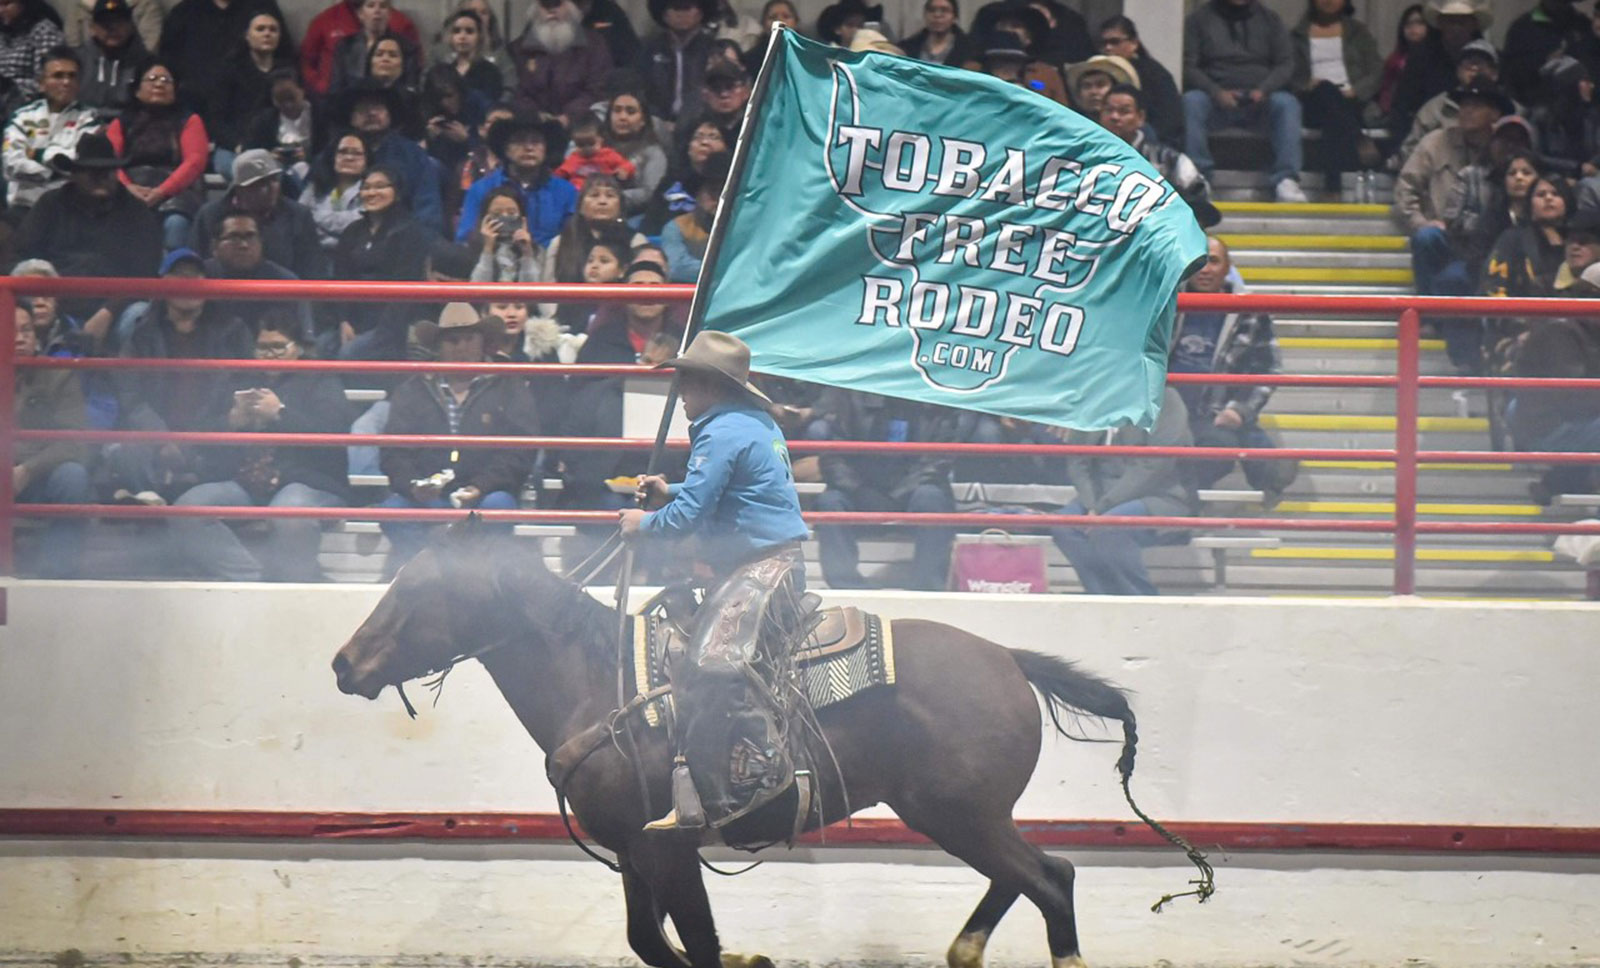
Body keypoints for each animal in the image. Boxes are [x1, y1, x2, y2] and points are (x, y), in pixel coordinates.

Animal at [337, 518, 1203, 966]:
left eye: (419, 589)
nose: (345, 663)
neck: (595, 679)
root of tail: (1007, 658)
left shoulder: (668, 849)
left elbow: (695, 946)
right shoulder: (631, 850)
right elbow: (648, 941)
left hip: (959, 813)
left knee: (1048, 881)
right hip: (961, 816)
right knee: (1037, 875)